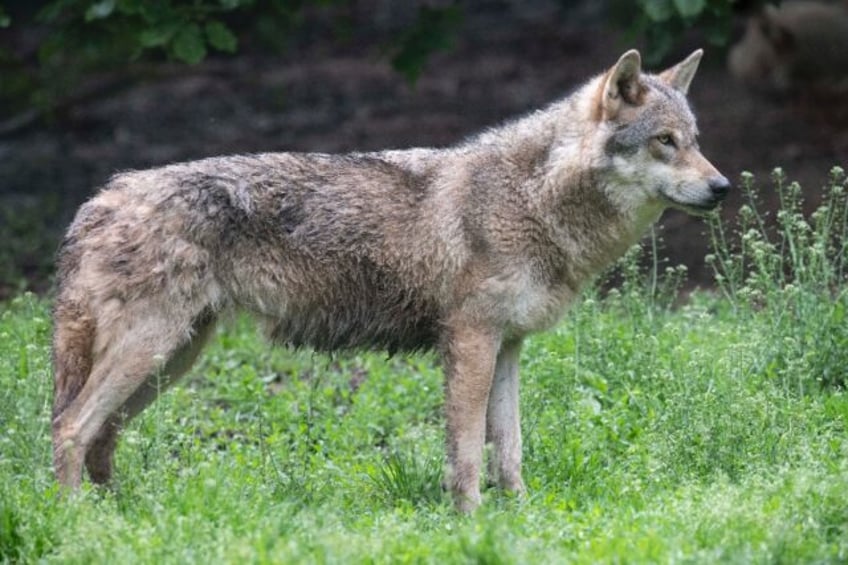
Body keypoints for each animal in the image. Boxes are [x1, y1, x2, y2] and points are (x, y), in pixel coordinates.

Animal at [51, 49, 728, 512]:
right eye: (665, 142)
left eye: (695, 141)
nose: (722, 186)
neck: (530, 200)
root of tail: (98, 200)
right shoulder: (471, 342)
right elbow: (467, 452)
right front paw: (472, 522)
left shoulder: (509, 346)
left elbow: (509, 450)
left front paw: (523, 518)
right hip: (151, 354)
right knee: (70, 429)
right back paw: (79, 523)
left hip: (171, 361)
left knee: (101, 438)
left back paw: (131, 520)